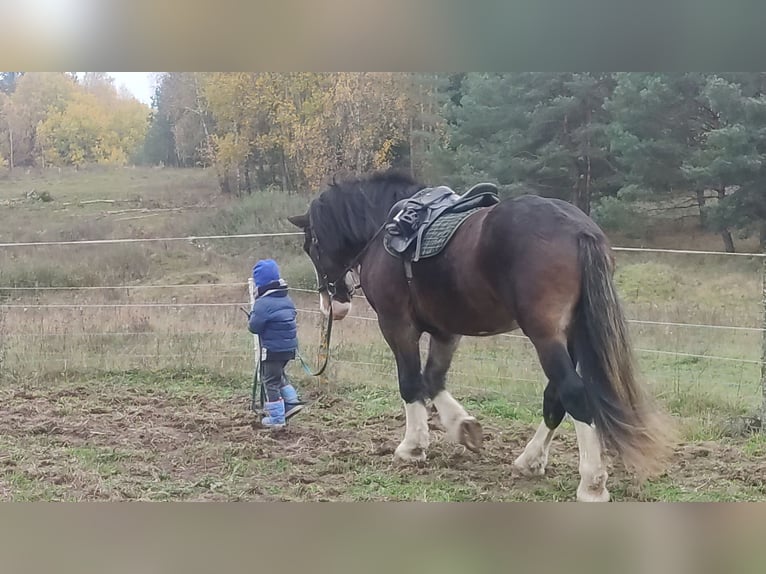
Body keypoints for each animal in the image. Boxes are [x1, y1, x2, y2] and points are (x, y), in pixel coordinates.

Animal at [290, 169, 680, 502]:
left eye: (312, 246)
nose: (333, 304)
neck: (387, 231)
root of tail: (579, 230)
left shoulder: (397, 324)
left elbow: (411, 383)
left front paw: (412, 447)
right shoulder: (446, 331)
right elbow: (433, 379)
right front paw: (464, 427)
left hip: (545, 335)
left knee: (573, 394)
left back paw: (592, 483)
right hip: (569, 334)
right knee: (555, 397)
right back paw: (530, 460)